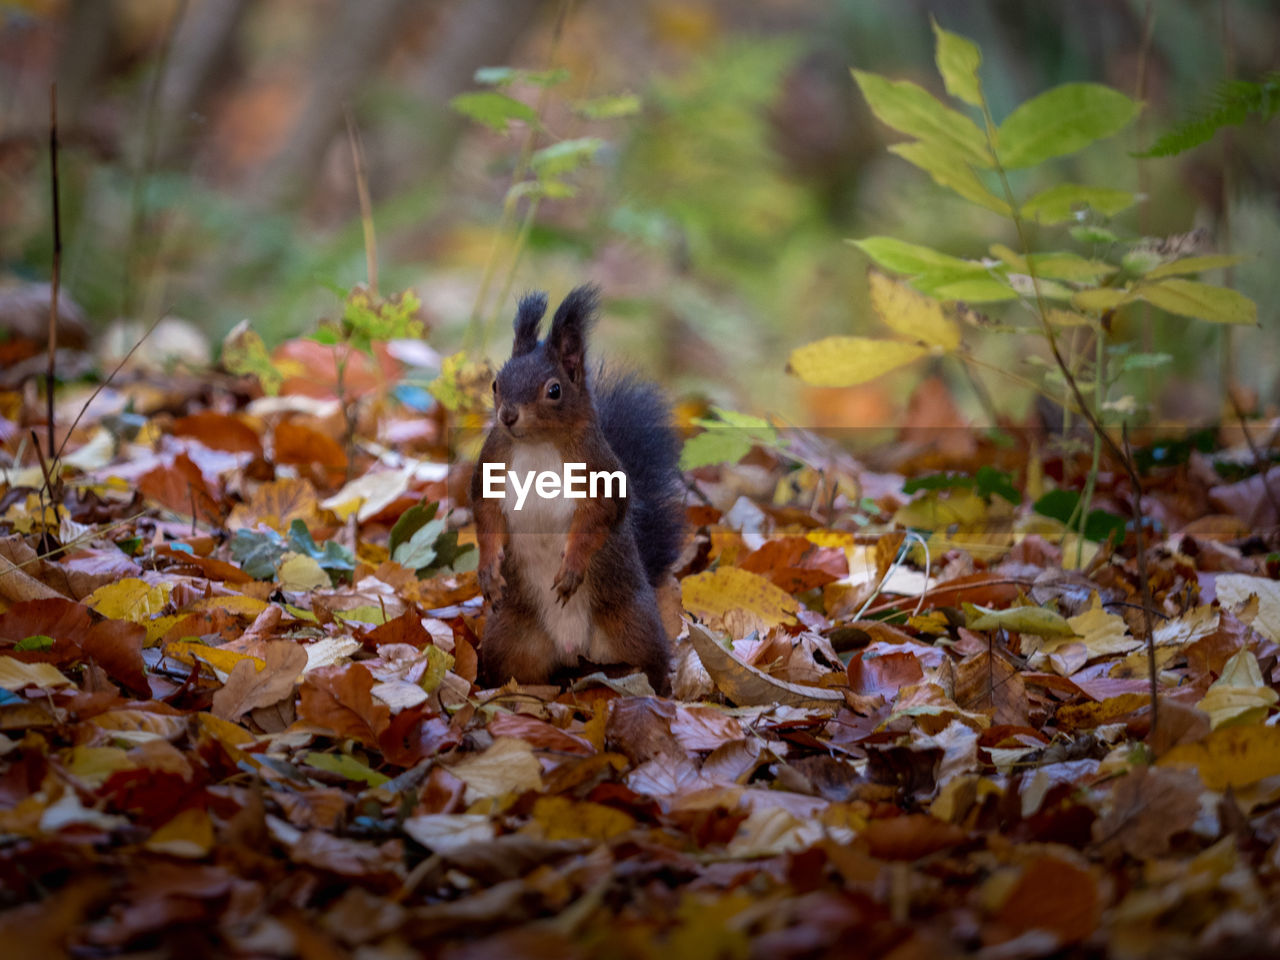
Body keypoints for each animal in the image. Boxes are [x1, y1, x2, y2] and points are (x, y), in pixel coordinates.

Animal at [471, 281, 686, 696]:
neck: (538, 445)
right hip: (509, 637)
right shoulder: (491, 468)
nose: (507, 415)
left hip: (634, 626)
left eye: (554, 390)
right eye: (496, 383)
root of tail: (572, 652)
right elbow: (486, 516)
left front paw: (571, 567)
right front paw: (489, 571)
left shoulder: (599, 476)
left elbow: (596, 520)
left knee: (652, 665)